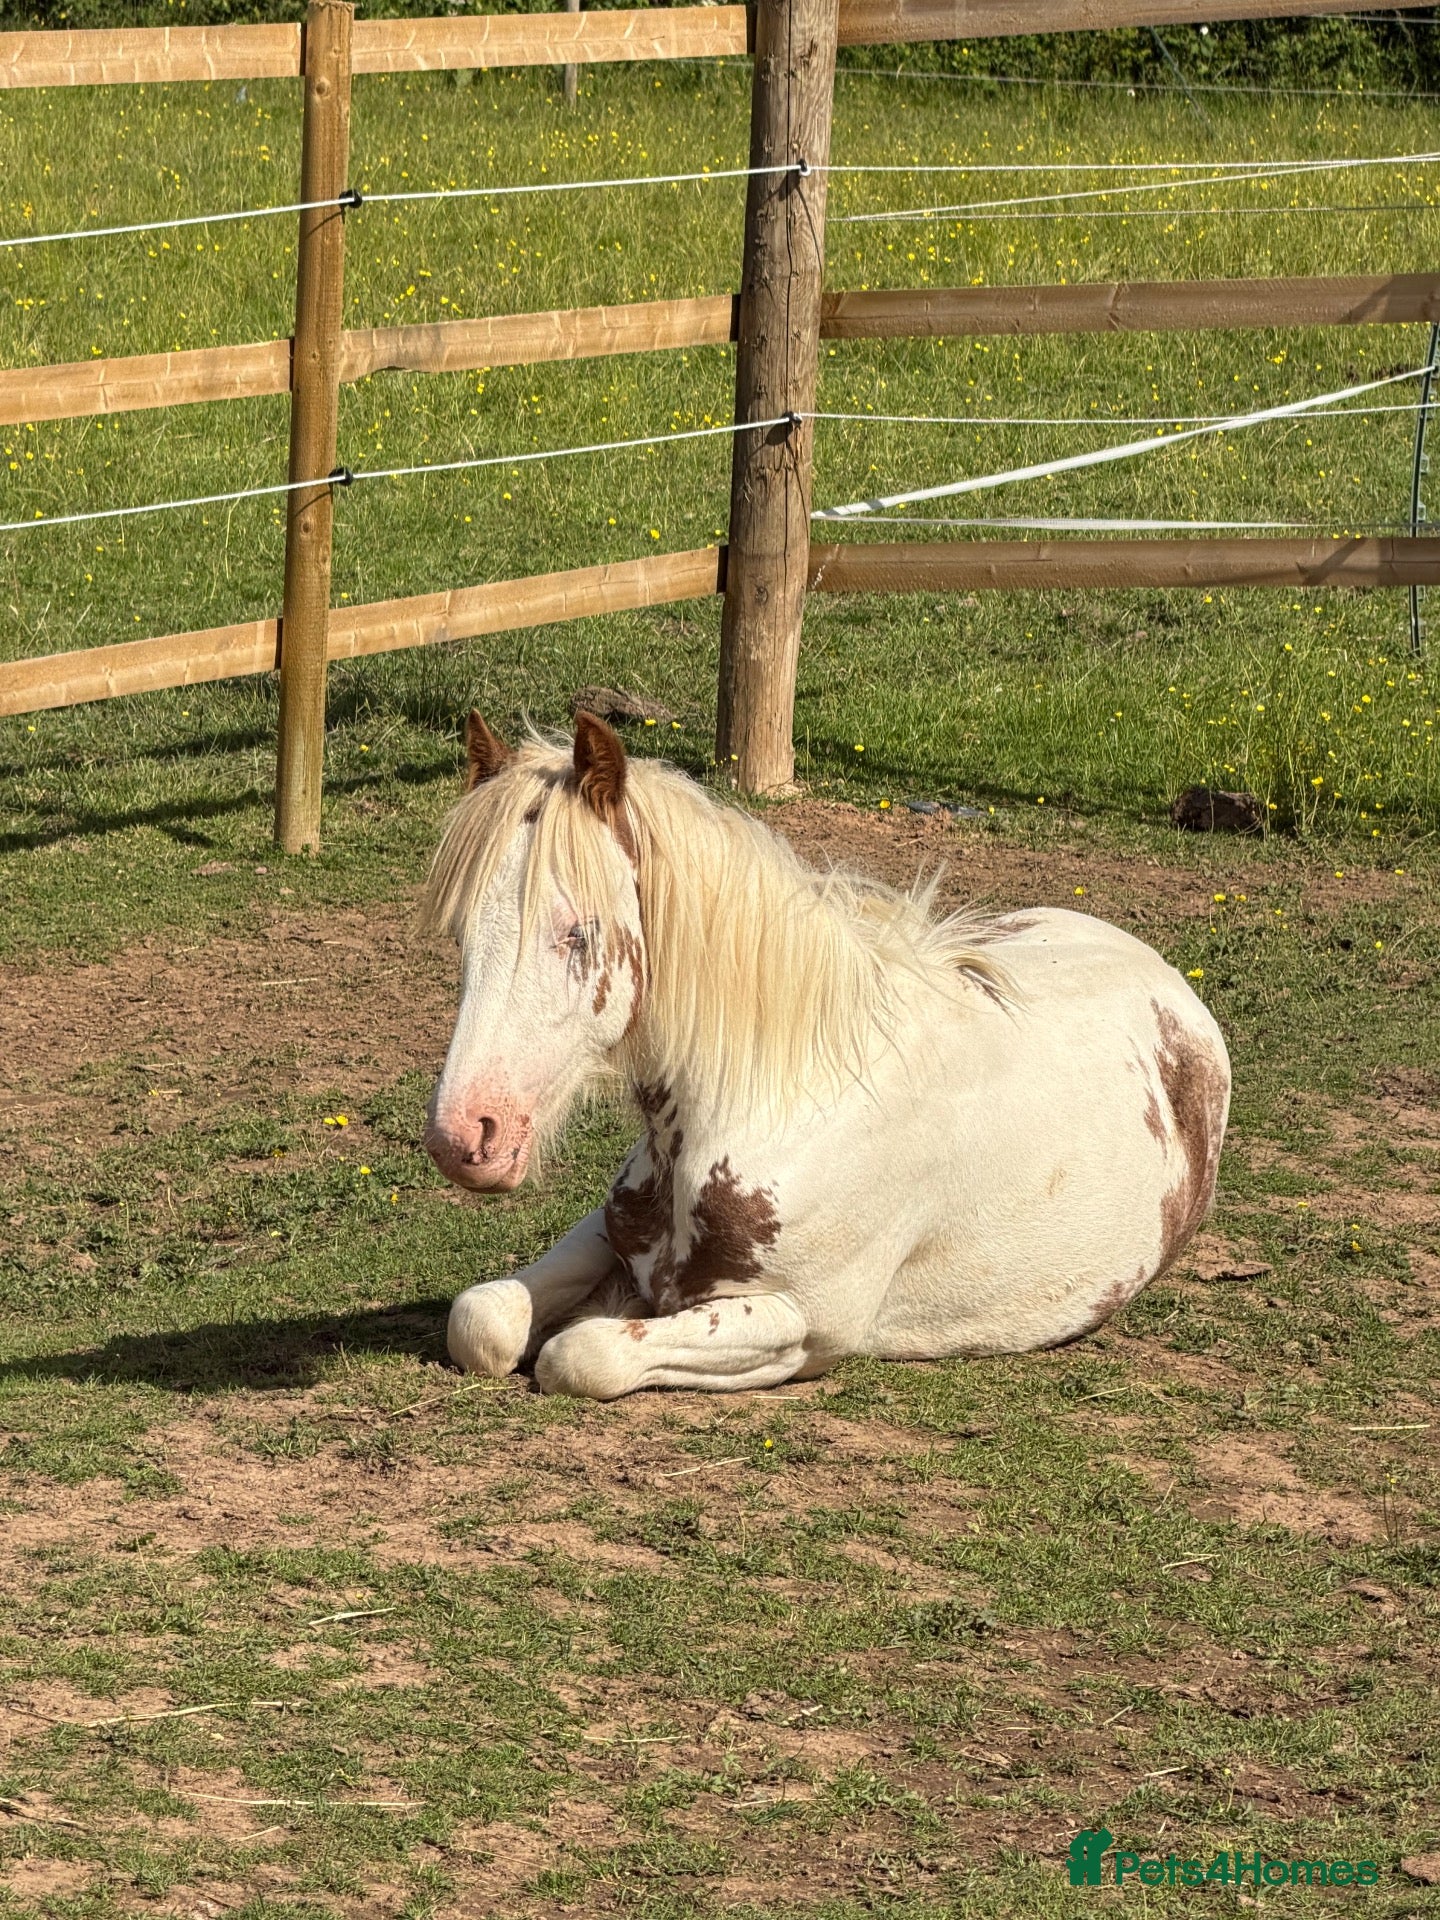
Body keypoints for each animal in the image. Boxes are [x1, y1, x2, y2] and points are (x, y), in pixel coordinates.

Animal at [421, 710, 1231, 1400]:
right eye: (461, 933)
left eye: (578, 932)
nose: (464, 1138)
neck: (787, 1094)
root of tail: (1164, 974)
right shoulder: (605, 1228)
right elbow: (482, 1319)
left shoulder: (803, 1325)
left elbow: (583, 1353)